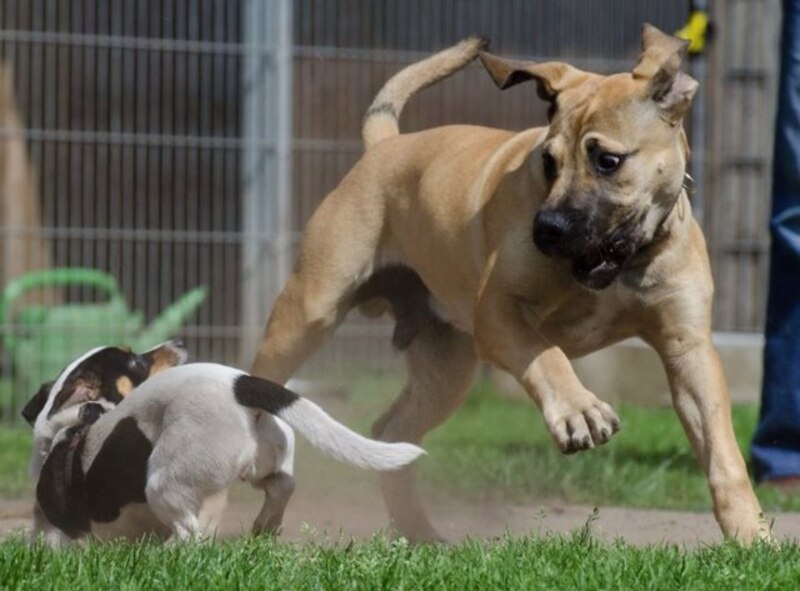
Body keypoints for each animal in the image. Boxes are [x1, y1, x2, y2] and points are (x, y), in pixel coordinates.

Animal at [21, 342, 424, 544]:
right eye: (136, 361)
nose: (177, 342)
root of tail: (240, 383)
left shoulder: (59, 533)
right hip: (259, 460)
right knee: (282, 485)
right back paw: (264, 527)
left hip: (163, 483)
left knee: (190, 536)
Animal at [253, 27, 772, 544]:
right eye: (548, 161)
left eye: (608, 161)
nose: (547, 229)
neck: (624, 264)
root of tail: (385, 146)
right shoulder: (499, 313)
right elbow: (548, 356)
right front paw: (579, 410)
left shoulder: (688, 350)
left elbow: (722, 452)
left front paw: (750, 533)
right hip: (308, 312)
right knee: (265, 396)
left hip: (446, 368)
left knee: (390, 431)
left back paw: (419, 531)